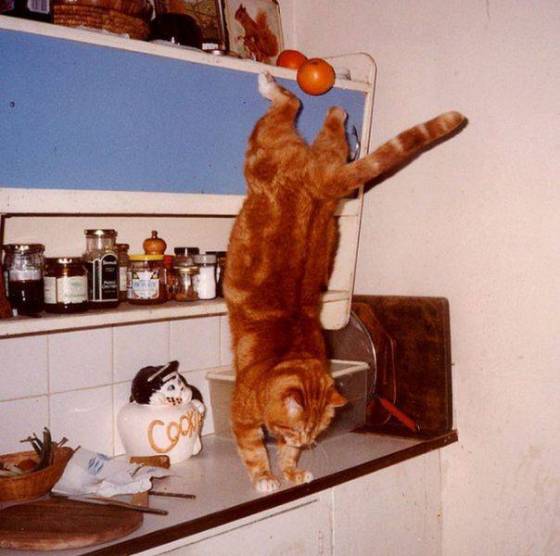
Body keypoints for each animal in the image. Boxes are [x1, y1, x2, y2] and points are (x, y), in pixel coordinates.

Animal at [224, 72, 465, 493]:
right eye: (297, 428)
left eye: (310, 432)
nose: (305, 440)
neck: (283, 360)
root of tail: (321, 184)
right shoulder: (241, 416)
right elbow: (254, 451)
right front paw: (266, 478)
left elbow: (283, 456)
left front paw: (291, 470)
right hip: (273, 155)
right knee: (301, 117)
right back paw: (308, 96)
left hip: (290, 153)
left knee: (297, 110)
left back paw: (318, 101)